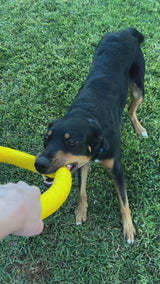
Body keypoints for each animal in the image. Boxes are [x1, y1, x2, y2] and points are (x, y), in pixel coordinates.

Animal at [35, 27, 148, 244]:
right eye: (46, 139)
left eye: (71, 141)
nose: (39, 164)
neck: (87, 114)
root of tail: (126, 30)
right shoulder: (81, 162)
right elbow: (81, 190)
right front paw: (81, 212)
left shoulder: (116, 168)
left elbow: (124, 201)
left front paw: (129, 228)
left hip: (139, 87)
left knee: (131, 109)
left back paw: (139, 129)